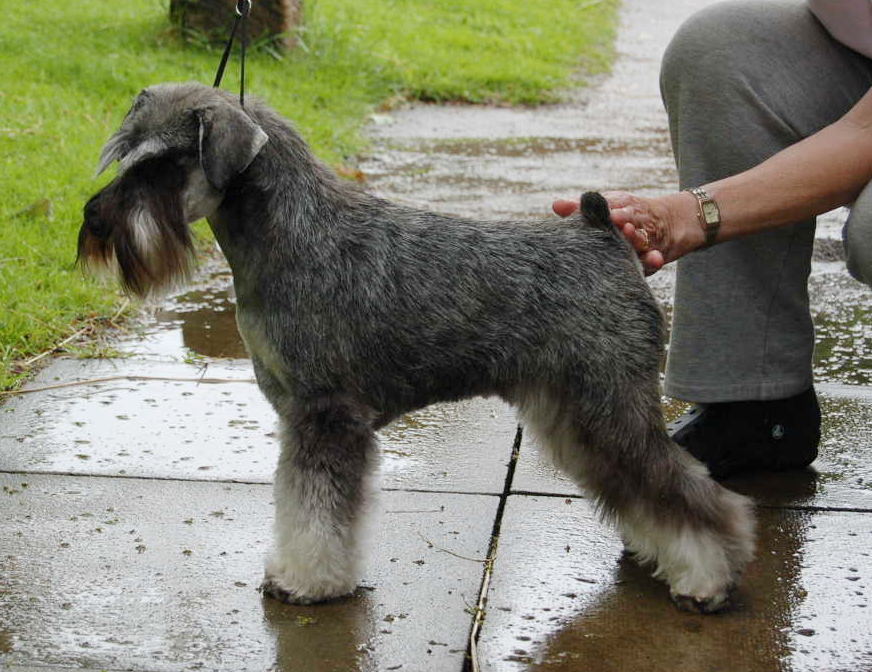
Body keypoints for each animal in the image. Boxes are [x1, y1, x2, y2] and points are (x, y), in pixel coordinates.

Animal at [78, 81, 752, 612]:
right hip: (572, 412)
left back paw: (707, 578)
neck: (288, 232)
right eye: (124, 156)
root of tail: (602, 231)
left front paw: (308, 582)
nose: (95, 222)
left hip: (606, 404)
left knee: (686, 487)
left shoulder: (327, 417)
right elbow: (302, 504)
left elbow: (317, 512)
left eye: (160, 164)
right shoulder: (303, 417)